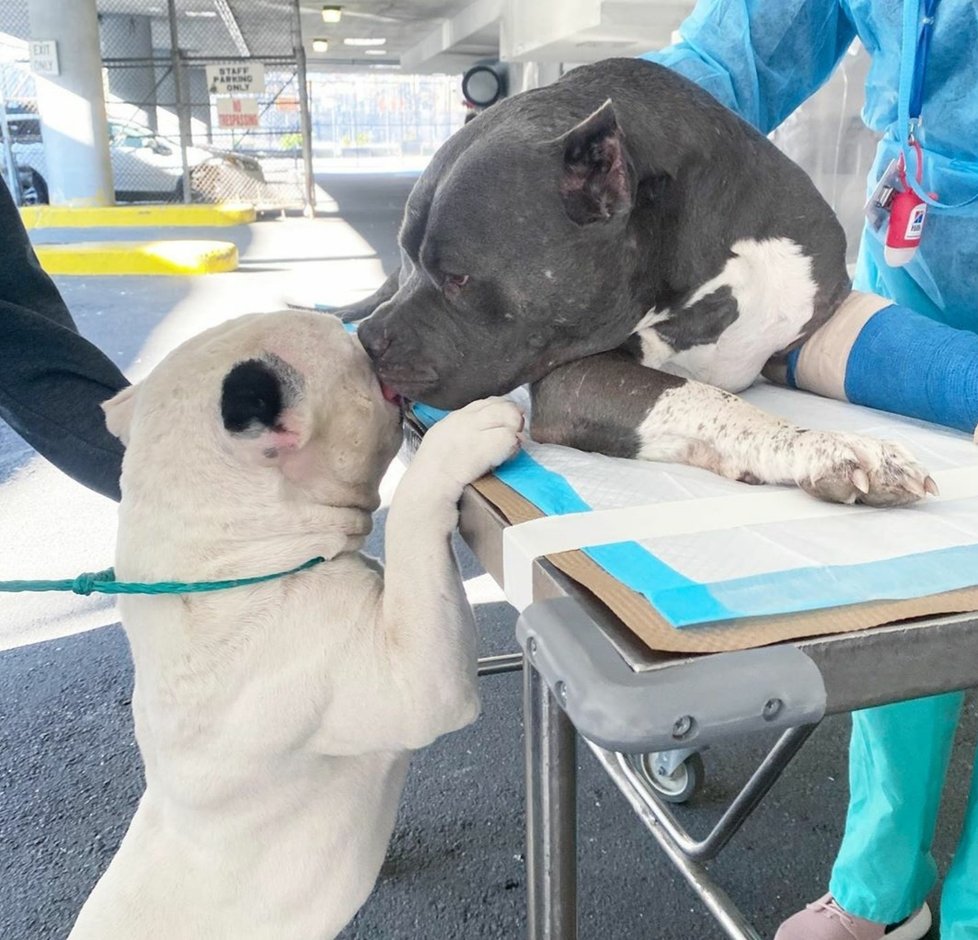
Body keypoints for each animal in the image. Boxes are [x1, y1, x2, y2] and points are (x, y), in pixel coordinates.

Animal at [68, 312, 524, 936]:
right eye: (353, 352)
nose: (368, 333)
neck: (234, 556)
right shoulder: (416, 678)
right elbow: (411, 515)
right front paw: (462, 437)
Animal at [342, 58, 932, 506]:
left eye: (457, 278)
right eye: (405, 254)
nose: (370, 341)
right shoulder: (574, 379)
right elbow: (706, 397)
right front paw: (825, 444)